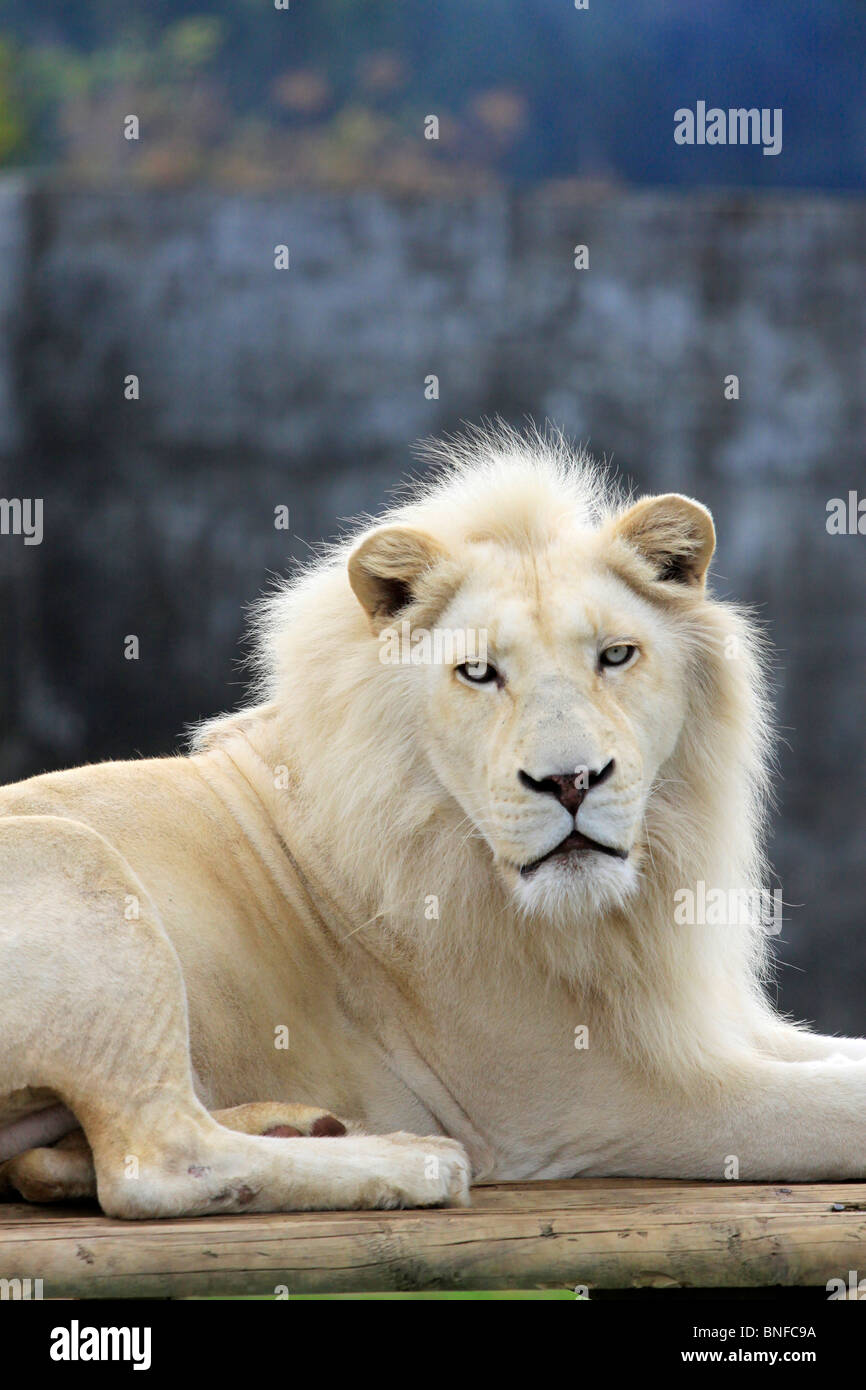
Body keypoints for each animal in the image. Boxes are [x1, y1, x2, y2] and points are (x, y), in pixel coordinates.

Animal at [1, 425, 866, 1217]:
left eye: (616, 656)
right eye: (478, 672)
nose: (570, 782)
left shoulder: (705, 1025)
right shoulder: (602, 1099)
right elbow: (840, 1105)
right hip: (77, 859)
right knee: (153, 1163)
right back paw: (409, 1160)